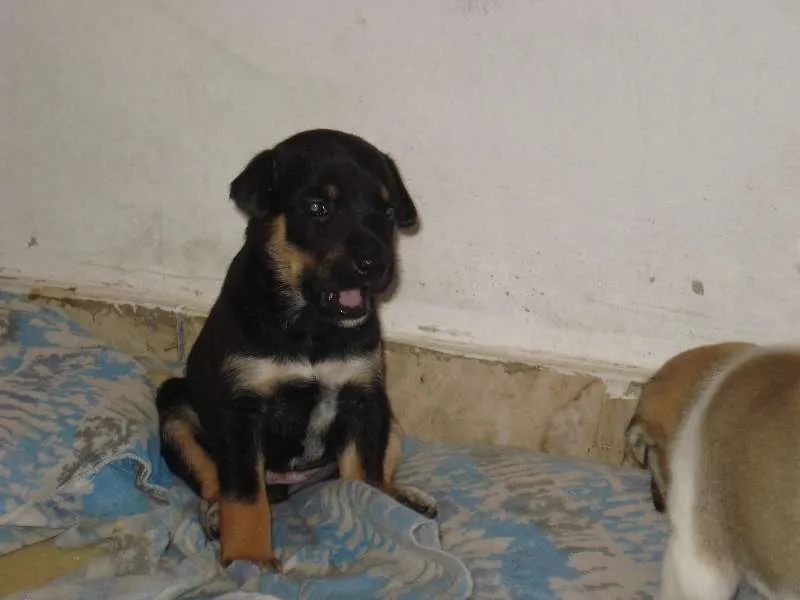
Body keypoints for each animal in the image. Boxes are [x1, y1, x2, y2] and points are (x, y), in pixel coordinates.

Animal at [155, 129, 438, 570]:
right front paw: (250, 560)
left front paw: (372, 517)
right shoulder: (242, 413)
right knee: (213, 480)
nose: (377, 264)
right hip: (175, 410)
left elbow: (364, 477)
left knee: (382, 473)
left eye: (389, 212)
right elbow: (244, 496)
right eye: (318, 208)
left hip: (390, 419)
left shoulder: (363, 399)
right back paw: (216, 516)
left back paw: (405, 499)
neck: (311, 328)